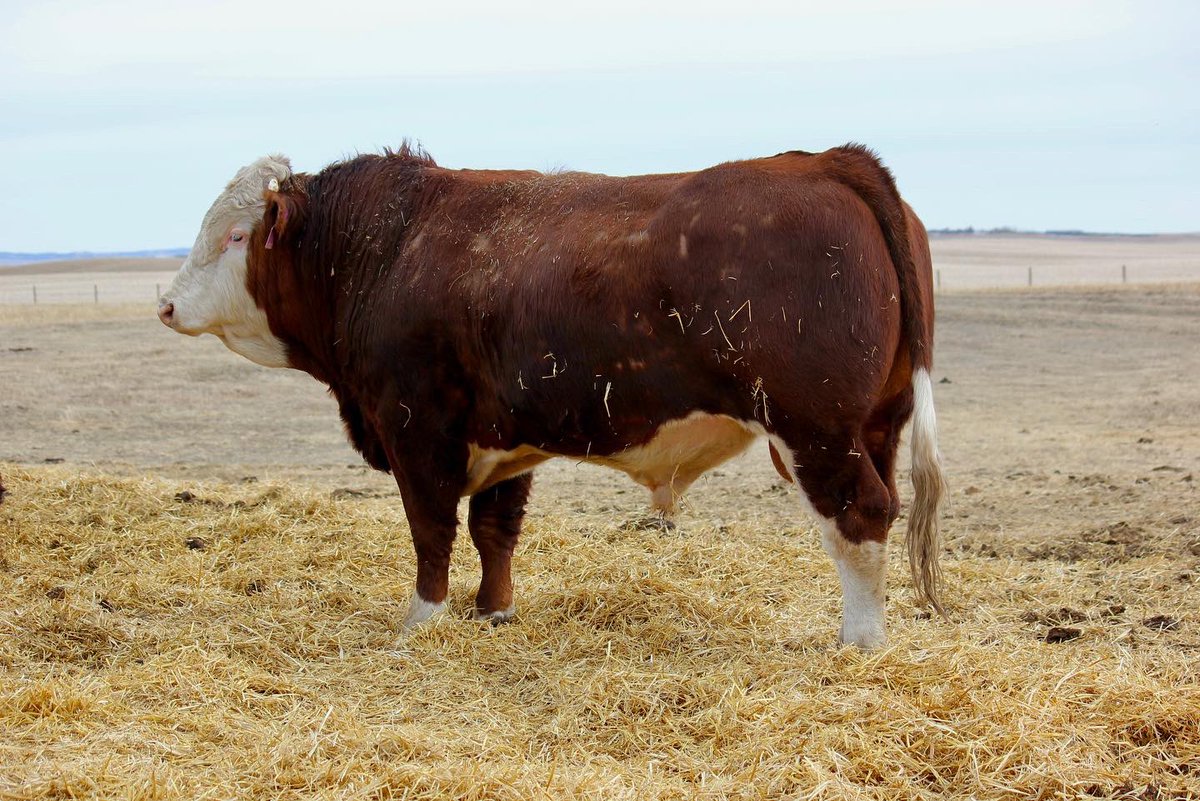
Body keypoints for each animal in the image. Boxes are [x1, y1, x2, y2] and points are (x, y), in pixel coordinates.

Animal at [158, 142, 945, 649]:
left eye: (236, 236)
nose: (165, 304)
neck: (388, 250)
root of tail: (829, 161)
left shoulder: (417, 428)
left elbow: (431, 532)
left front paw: (420, 622)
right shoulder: (503, 435)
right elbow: (493, 529)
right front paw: (492, 613)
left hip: (816, 429)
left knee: (859, 515)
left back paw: (859, 643)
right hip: (878, 422)